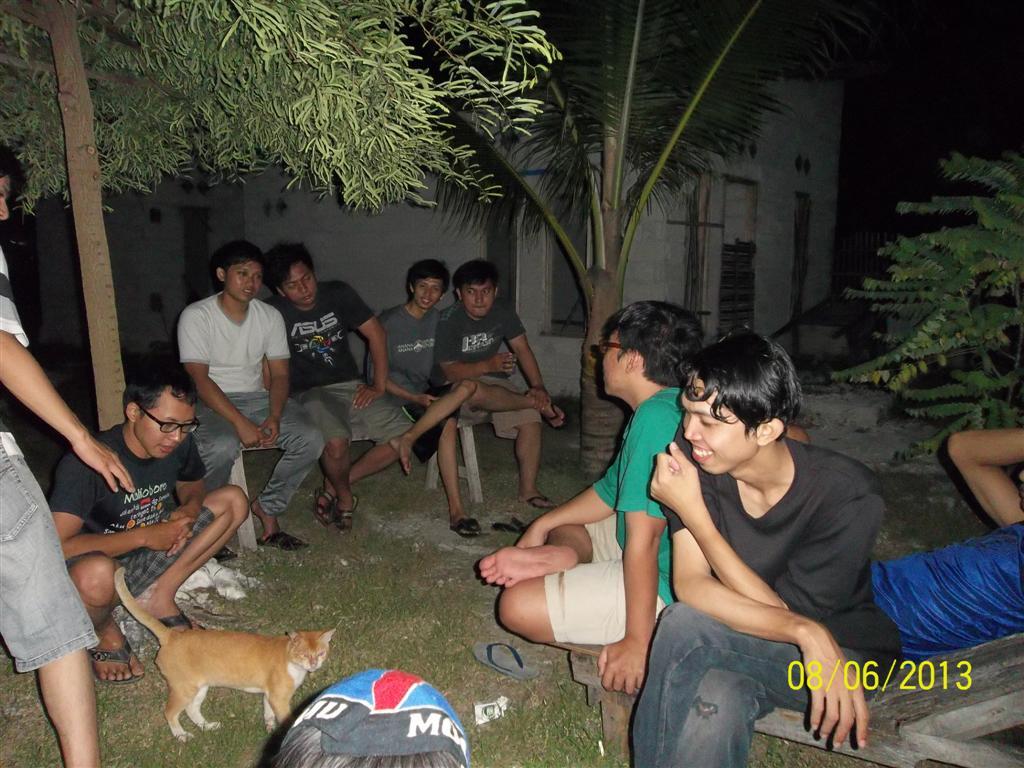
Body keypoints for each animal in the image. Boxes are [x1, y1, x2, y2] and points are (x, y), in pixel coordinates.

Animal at [114, 567, 335, 741]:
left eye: (320, 653)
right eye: (304, 654)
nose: (314, 664)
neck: (290, 659)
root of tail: (171, 635)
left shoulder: (270, 694)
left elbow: (268, 712)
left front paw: (269, 726)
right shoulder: (279, 697)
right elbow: (285, 719)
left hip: (199, 687)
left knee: (192, 710)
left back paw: (207, 726)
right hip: (184, 689)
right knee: (170, 712)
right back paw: (181, 735)